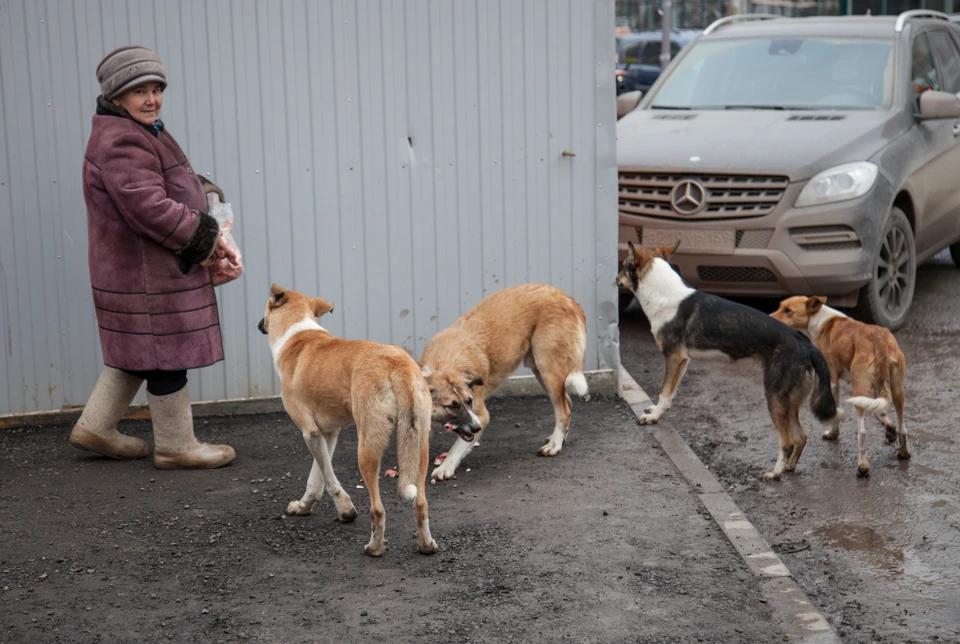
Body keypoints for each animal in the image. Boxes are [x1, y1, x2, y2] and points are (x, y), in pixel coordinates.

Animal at [255, 284, 436, 556]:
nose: (258, 325)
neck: (297, 331)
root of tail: (397, 364)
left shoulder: (310, 431)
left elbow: (328, 478)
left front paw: (346, 510)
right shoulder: (327, 433)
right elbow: (316, 477)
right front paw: (304, 507)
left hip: (367, 448)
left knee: (378, 509)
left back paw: (375, 548)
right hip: (419, 446)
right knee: (421, 503)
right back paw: (425, 545)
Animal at [620, 240, 836, 478]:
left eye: (622, 267)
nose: (615, 280)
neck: (664, 293)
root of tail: (806, 345)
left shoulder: (673, 357)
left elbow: (665, 392)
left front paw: (654, 418)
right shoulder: (682, 361)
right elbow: (670, 393)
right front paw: (656, 410)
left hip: (775, 397)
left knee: (787, 442)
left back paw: (774, 474)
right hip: (790, 402)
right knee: (801, 437)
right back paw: (788, 467)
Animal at [768, 294, 912, 476]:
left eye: (788, 311)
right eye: (780, 306)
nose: (768, 317)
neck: (820, 319)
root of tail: (878, 342)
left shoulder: (833, 380)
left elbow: (835, 411)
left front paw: (833, 434)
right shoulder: (876, 388)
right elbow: (879, 412)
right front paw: (889, 429)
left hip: (859, 389)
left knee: (862, 433)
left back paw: (862, 467)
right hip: (896, 390)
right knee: (903, 426)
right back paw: (903, 452)